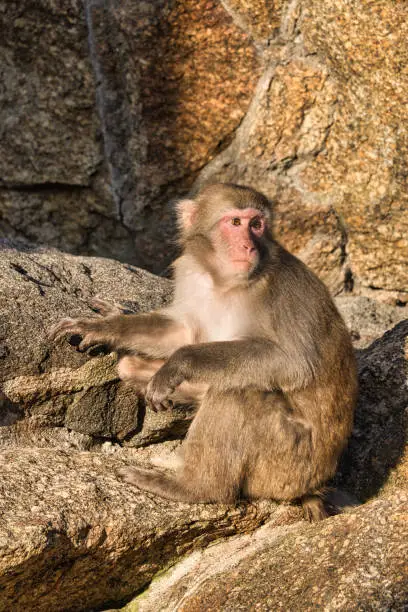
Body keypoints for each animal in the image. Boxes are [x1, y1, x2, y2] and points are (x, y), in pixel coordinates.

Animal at [50, 183, 356, 520]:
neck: (225, 282)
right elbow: (182, 332)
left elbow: (294, 363)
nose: (249, 247)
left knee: (239, 393)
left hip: (285, 466)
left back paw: (194, 488)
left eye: (257, 224)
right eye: (235, 222)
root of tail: (313, 487)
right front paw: (103, 326)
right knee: (133, 367)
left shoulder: (280, 291)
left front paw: (179, 363)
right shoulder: (192, 274)